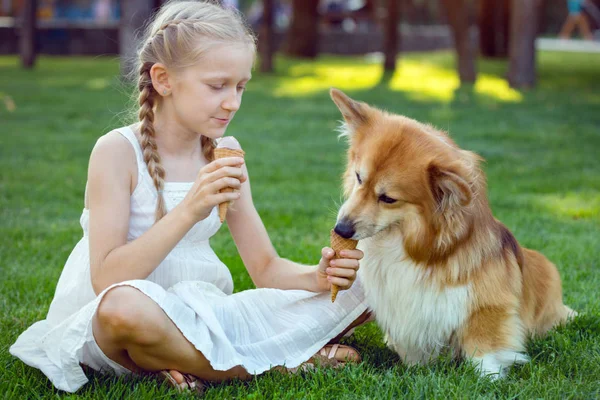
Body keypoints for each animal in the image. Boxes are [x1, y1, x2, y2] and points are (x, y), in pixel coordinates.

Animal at [330, 88, 580, 378]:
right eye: (359, 177)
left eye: (388, 199)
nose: (340, 229)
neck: (408, 244)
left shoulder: (487, 305)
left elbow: (484, 346)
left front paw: (489, 377)